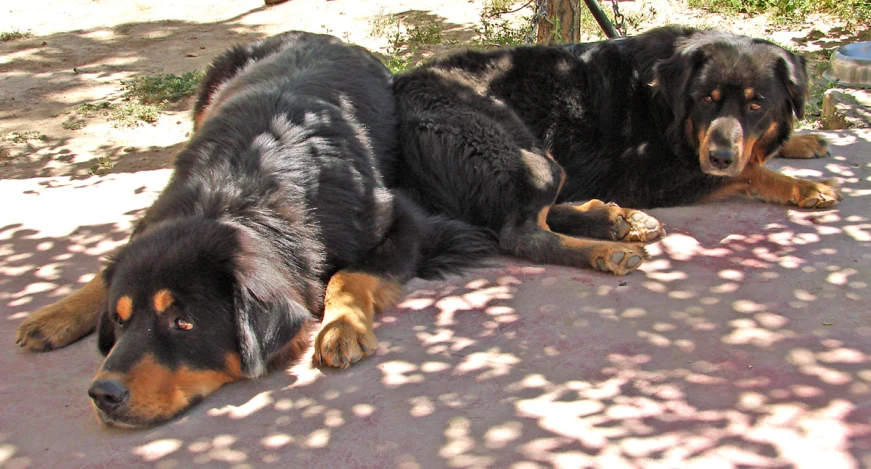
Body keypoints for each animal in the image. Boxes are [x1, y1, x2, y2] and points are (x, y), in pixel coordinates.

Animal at [13, 32, 494, 428]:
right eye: (120, 319)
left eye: (183, 323)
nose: (102, 394)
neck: (233, 193)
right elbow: (109, 268)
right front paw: (62, 311)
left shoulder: (404, 220)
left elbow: (346, 275)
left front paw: (340, 327)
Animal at [394, 24, 836, 274]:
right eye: (705, 99)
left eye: (756, 104)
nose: (720, 156)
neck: (663, 100)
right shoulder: (645, 174)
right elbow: (750, 170)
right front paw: (804, 186)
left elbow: (758, 153)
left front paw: (801, 140)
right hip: (527, 152)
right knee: (521, 232)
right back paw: (606, 248)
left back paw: (615, 220)